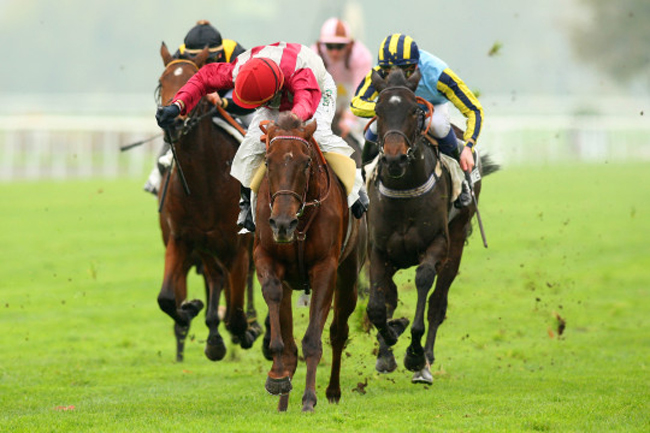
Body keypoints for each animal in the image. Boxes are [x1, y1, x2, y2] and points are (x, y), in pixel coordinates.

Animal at [154, 43, 260, 362]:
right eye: (162, 82)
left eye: (192, 82)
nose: (170, 120)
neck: (205, 183)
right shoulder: (181, 239)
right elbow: (166, 299)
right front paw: (190, 309)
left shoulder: (237, 247)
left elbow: (236, 314)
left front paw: (247, 330)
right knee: (215, 278)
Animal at [252, 113, 364, 410]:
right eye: (268, 161)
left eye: (305, 163)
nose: (282, 224)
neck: (300, 220)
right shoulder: (266, 256)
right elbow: (274, 298)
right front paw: (278, 377)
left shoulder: (326, 268)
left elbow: (314, 339)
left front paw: (309, 399)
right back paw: (283, 401)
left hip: (349, 276)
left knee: (338, 332)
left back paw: (333, 390)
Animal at [364, 69, 496, 384]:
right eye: (377, 111)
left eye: (416, 110)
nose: (394, 158)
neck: (404, 191)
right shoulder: (377, 250)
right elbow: (377, 306)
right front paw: (389, 341)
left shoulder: (437, 244)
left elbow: (424, 283)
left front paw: (414, 354)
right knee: (391, 296)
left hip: (456, 243)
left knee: (438, 301)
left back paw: (426, 359)